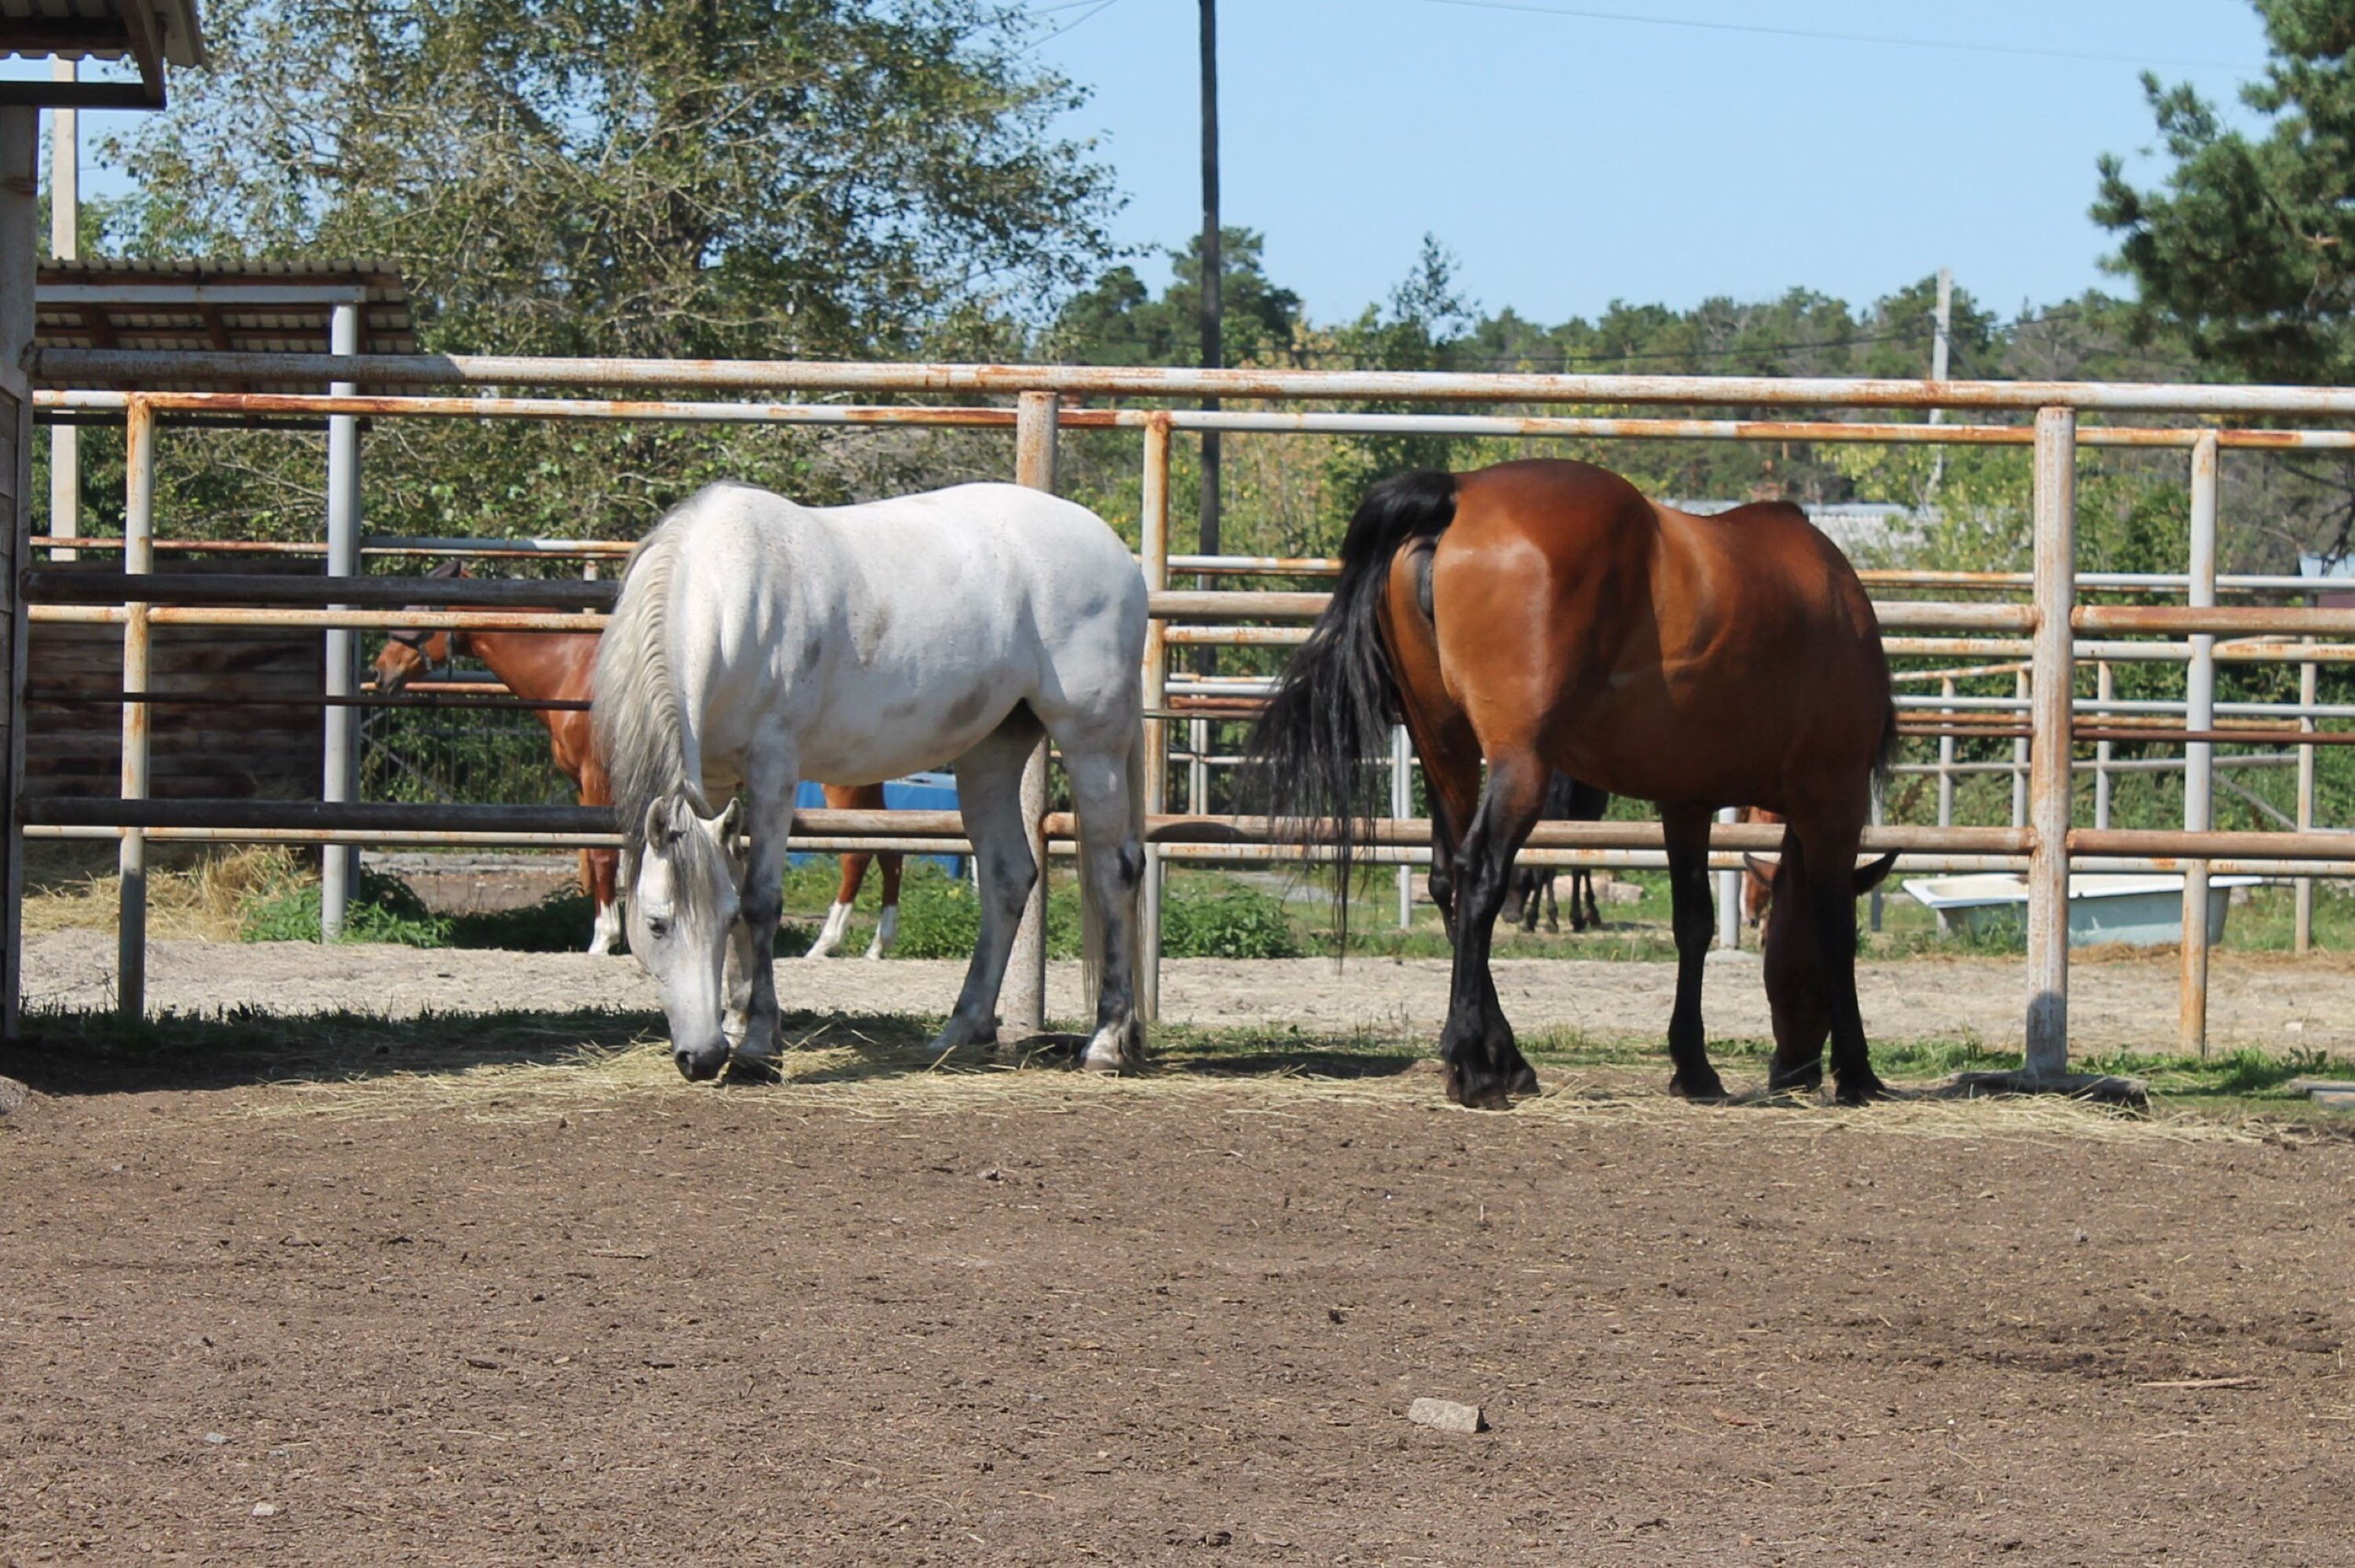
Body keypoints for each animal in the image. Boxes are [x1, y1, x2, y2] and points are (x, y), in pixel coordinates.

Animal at [367, 563, 900, 951]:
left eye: (423, 611)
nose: (381, 671)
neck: (574, 673)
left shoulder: (598, 780)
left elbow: (603, 856)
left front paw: (604, 939)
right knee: (888, 851)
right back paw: (876, 945)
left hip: (840, 786)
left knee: (857, 855)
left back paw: (825, 944)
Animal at [584, 483, 1145, 1083]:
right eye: (656, 925)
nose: (702, 1057)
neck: (726, 593)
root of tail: (1116, 553)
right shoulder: (712, 782)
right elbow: (734, 882)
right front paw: (736, 1023)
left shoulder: (773, 768)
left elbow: (761, 899)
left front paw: (759, 1046)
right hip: (990, 753)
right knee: (1008, 878)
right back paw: (963, 1031)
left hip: (1093, 744)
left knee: (1114, 871)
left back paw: (1105, 1043)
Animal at [1253, 459, 1893, 1107]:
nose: (1791, 1070)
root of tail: (1460, 491)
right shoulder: (1834, 805)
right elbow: (1837, 932)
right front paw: (1858, 1072)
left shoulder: (1686, 802)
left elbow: (1693, 924)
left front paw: (1694, 1068)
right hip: (1520, 764)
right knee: (1480, 874)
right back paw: (1476, 1068)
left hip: (1444, 748)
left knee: (1446, 880)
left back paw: (1506, 1058)